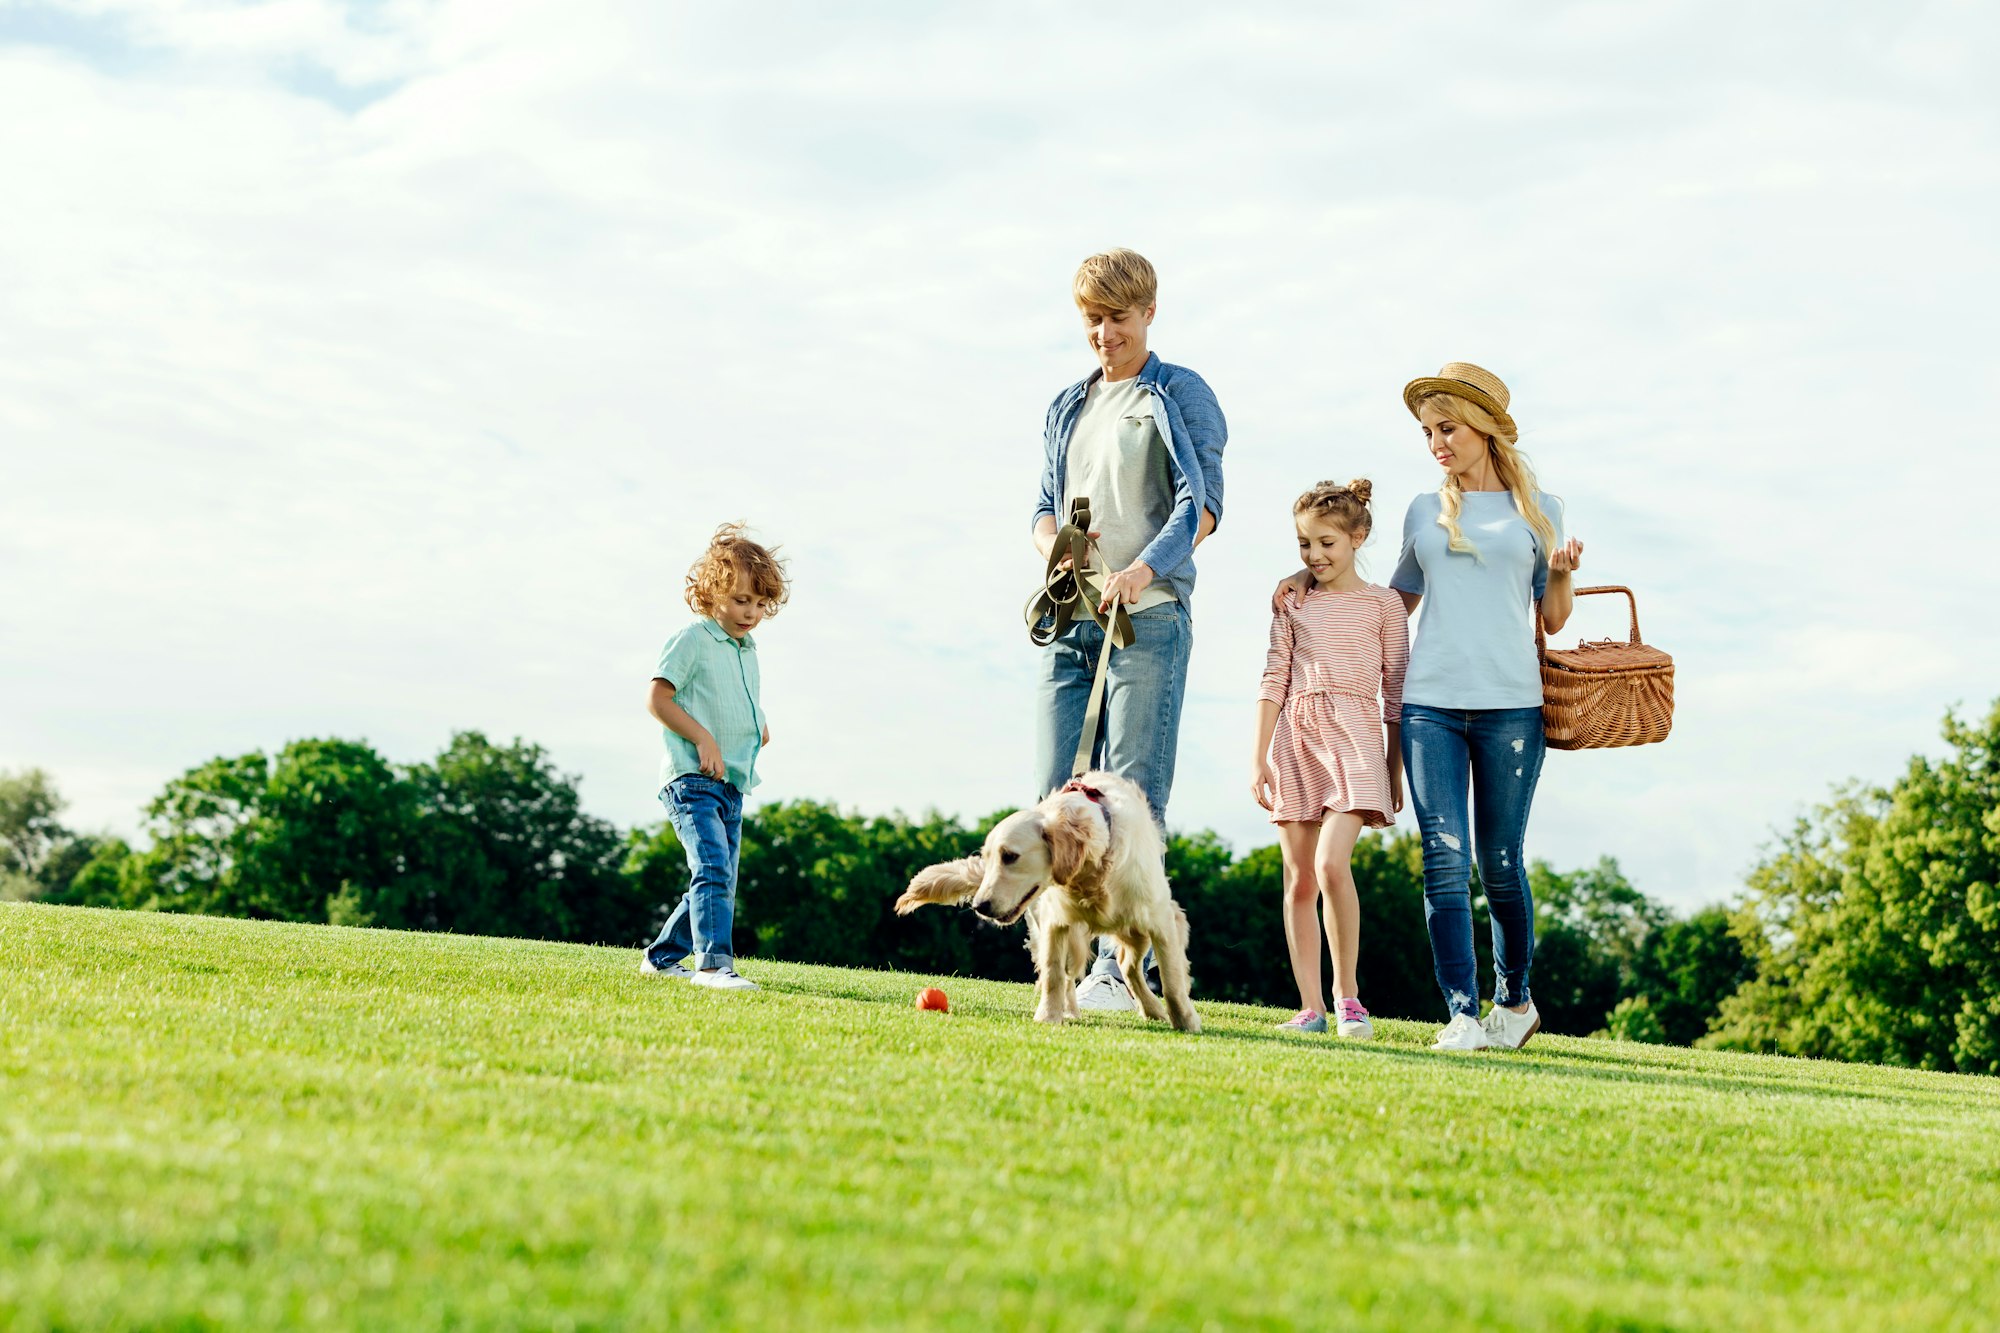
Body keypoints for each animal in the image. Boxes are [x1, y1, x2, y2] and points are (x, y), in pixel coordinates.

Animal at [896, 768, 1200, 1024]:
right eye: (988, 858)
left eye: (1010, 856)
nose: (980, 906)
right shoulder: (1056, 922)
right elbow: (1054, 974)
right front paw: (1048, 1017)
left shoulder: (1163, 921)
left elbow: (1172, 980)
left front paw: (1185, 1021)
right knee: (1088, 973)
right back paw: (1073, 1010)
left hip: (1136, 931)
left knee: (1129, 967)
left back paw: (1153, 1008)